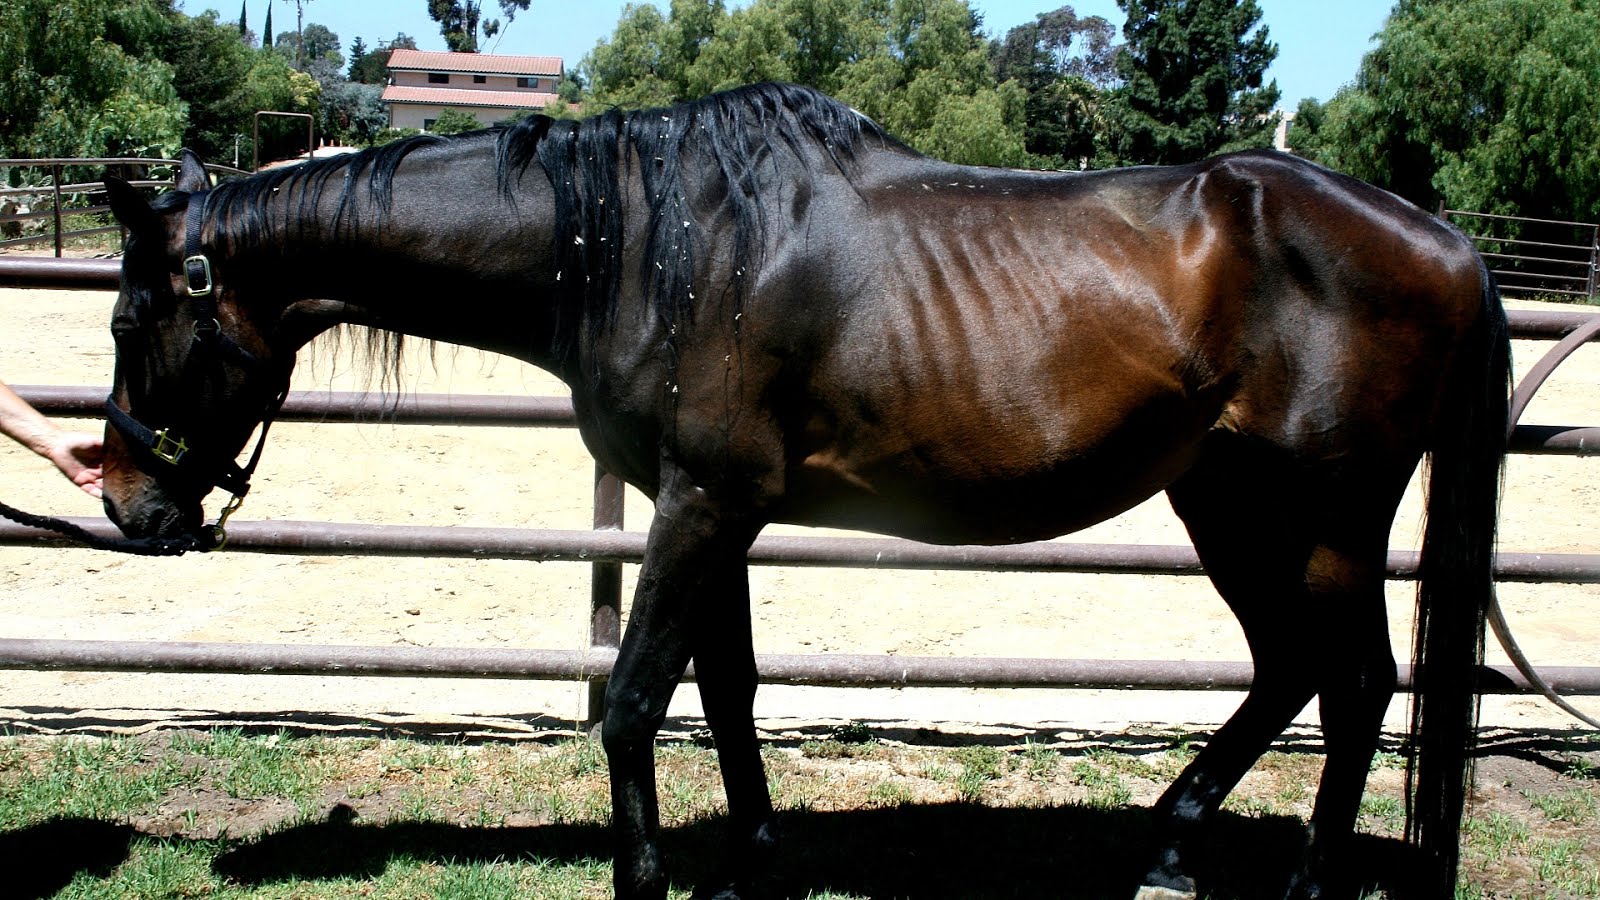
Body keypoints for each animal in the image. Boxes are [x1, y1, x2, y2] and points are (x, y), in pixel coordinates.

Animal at [100, 83, 1508, 900]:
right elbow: (723, 692)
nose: (123, 503)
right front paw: (750, 865)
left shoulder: (698, 505)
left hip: (1329, 519)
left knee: (1356, 683)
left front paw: (645, 882)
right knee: (1290, 672)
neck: (651, 243)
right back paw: (1165, 853)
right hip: (1227, 505)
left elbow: (635, 699)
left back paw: (1306, 886)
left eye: (127, 319)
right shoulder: (716, 511)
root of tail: (1444, 239)